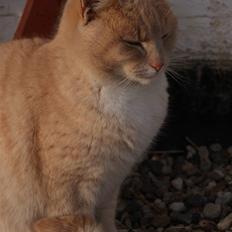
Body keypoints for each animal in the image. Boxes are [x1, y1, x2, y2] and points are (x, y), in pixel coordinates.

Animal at [0, 0, 177, 231]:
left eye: (165, 35)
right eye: (132, 43)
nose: (159, 64)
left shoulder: (110, 188)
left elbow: (108, 223)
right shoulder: (73, 197)